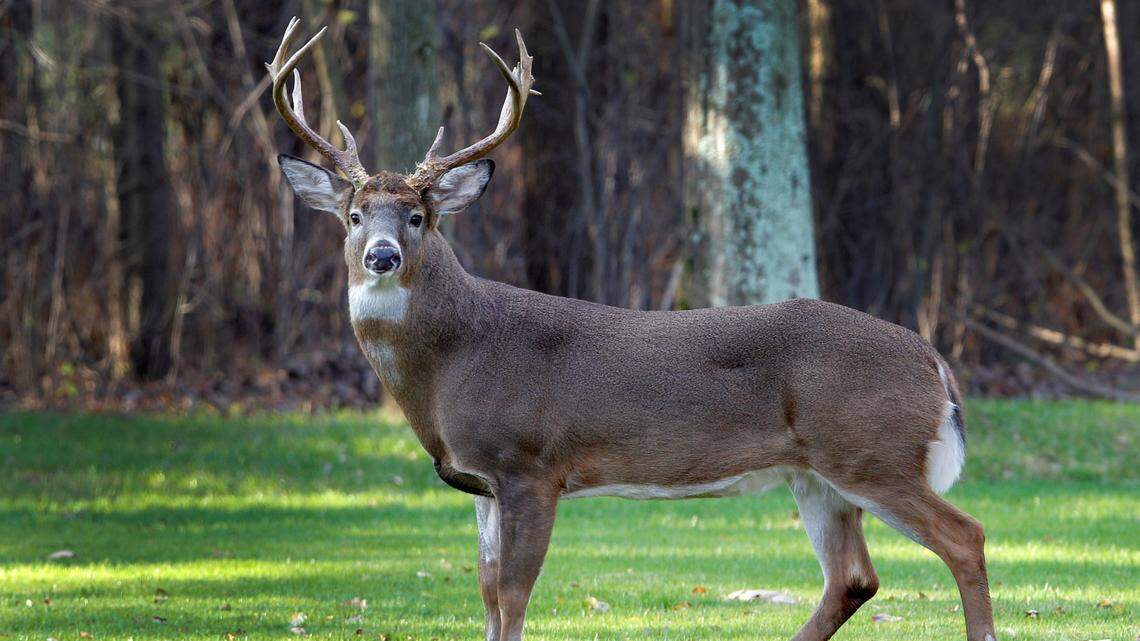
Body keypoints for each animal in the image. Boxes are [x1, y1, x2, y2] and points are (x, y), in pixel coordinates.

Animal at [266, 18, 996, 641]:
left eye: (418, 216)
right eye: (354, 216)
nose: (382, 255)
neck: (453, 360)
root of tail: (934, 361)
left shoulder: (532, 464)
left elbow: (513, 594)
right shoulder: (481, 482)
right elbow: (486, 591)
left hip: (871, 450)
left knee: (965, 537)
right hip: (816, 473)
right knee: (852, 577)